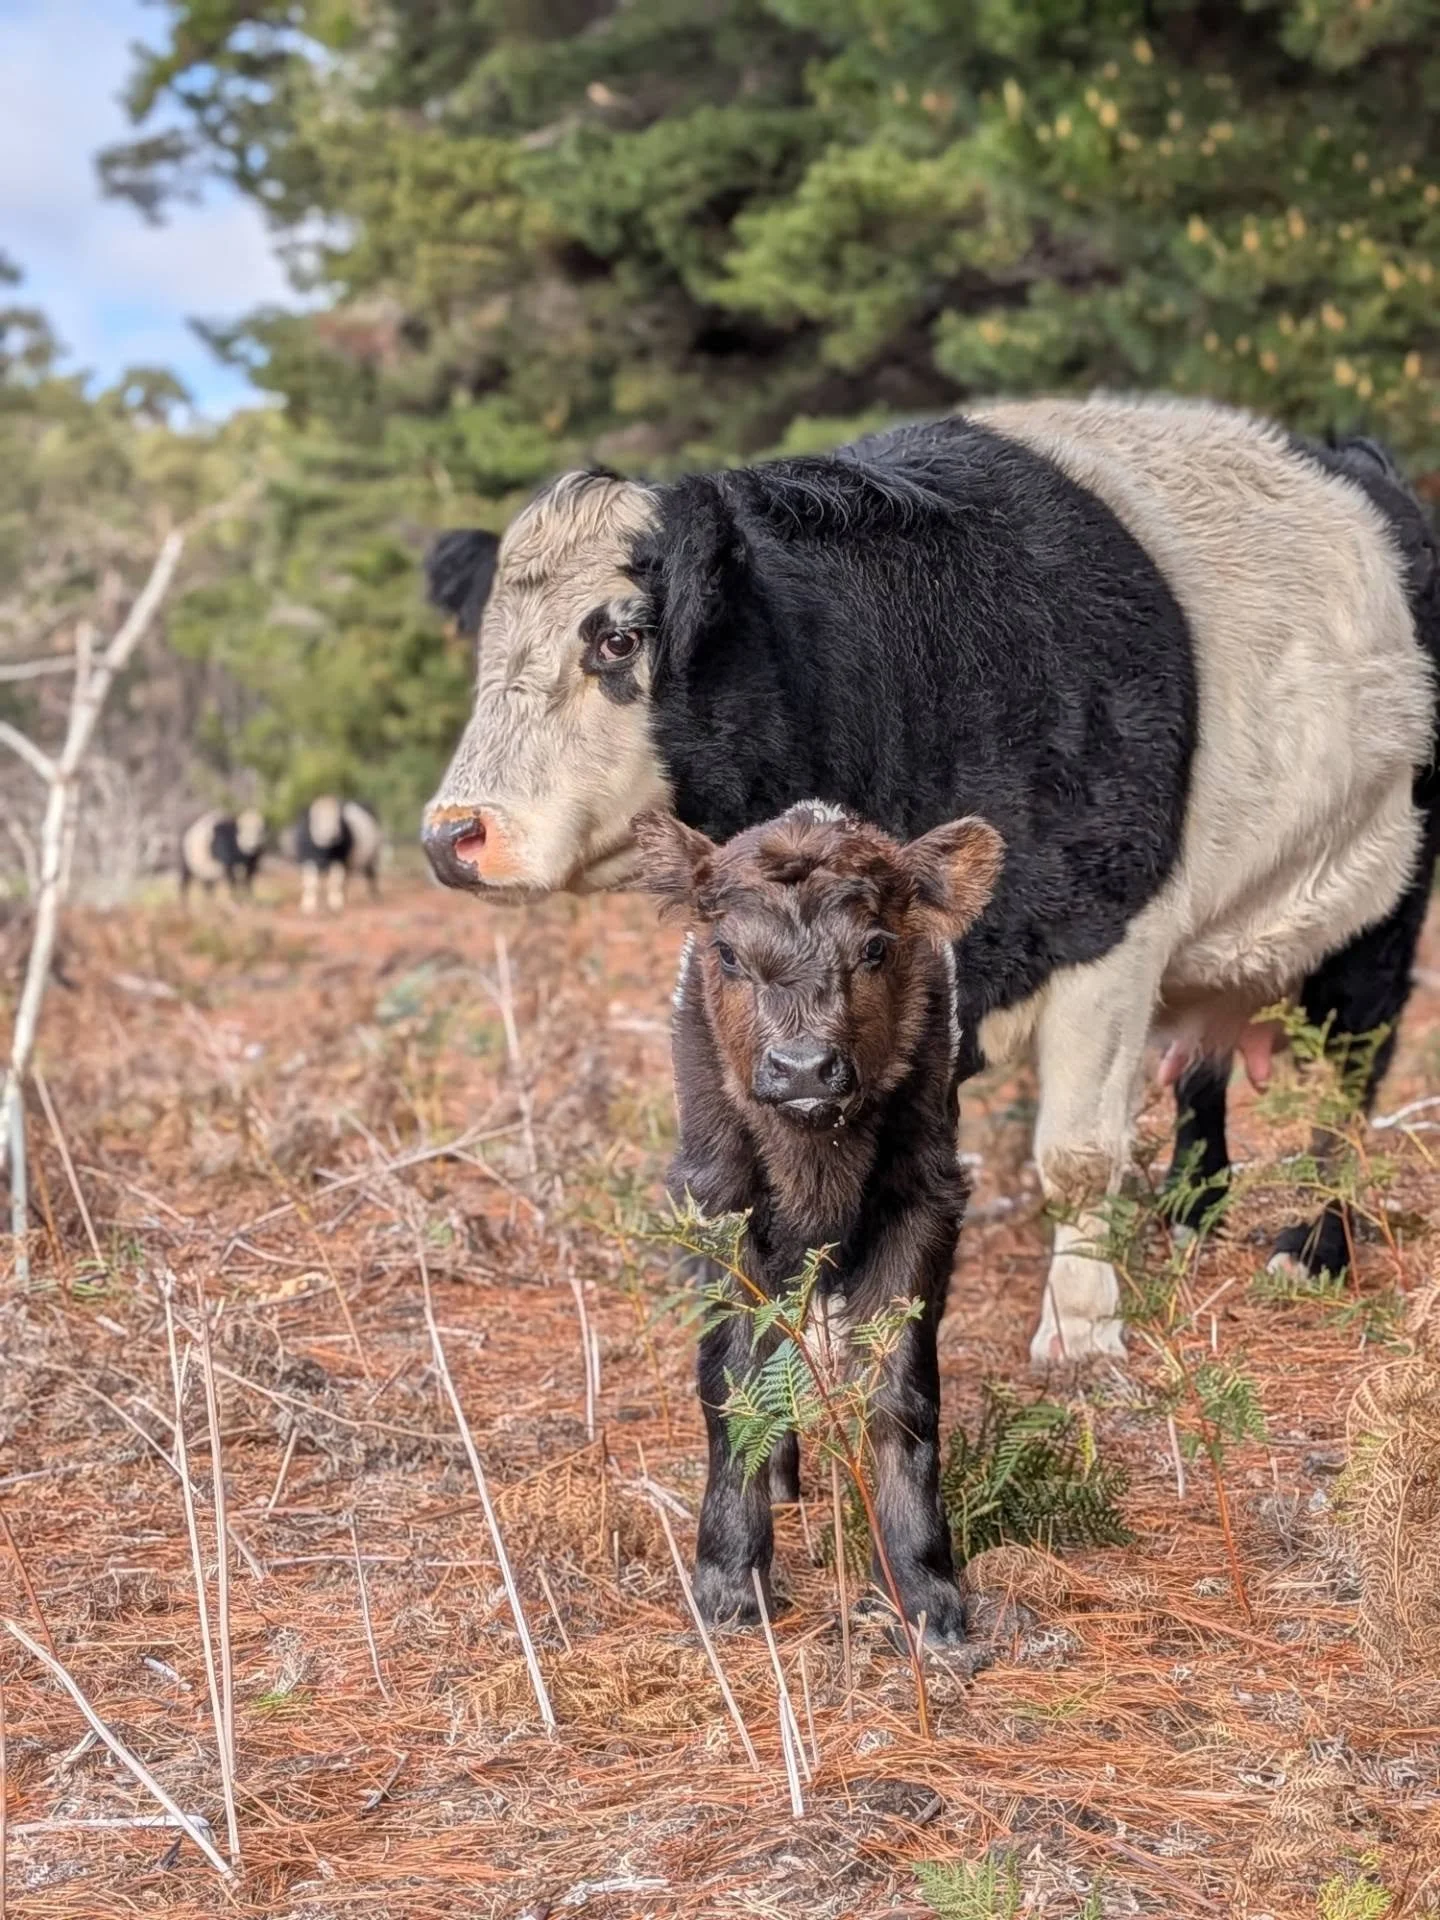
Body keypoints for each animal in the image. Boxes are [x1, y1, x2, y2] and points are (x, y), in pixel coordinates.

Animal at [419, 396, 1440, 1364]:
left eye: (620, 641)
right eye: (485, 648)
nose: (451, 836)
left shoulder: (1107, 936)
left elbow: (1077, 1155)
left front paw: (1080, 1337)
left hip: (1384, 908)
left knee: (1350, 1080)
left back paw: (1316, 1247)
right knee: (1204, 1064)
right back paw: (1191, 1217)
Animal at [639, 799, 1003, 1641]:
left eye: (876, 947)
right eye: (728, 953)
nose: (803, 1067)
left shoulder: (924, 1201)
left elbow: (901, 1392)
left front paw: (922, 1595)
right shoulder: (719, 1205)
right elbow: (733, 1378)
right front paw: (728, 1585)